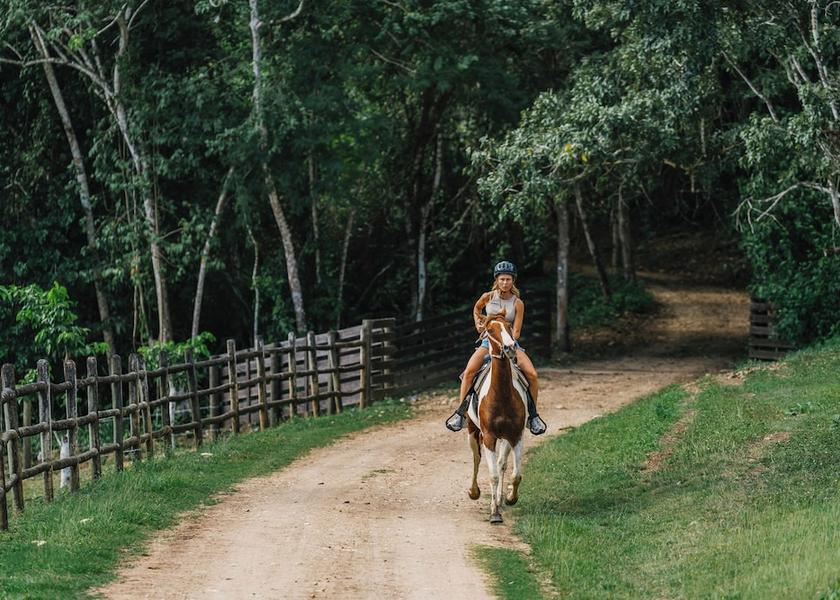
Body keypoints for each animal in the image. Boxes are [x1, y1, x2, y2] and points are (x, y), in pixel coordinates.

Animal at [466, 313, 527, 524]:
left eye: (509, 326)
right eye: (490, 330)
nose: (509, 347)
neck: (501, 396)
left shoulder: (516, 436)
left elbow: (515, 474)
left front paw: (510, 498)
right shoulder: (489, 437)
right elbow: (492, 475)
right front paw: (494, 514)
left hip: (505, 439)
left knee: (502, 464)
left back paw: (500, 500)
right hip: (473, 432)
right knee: (476, 459)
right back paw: (474, 492)